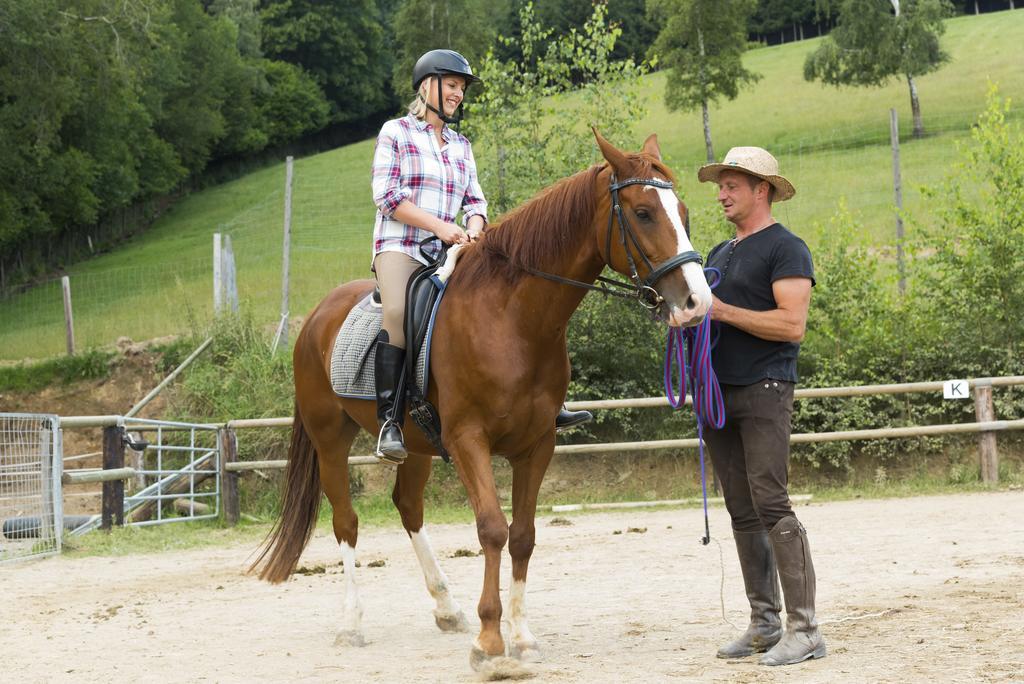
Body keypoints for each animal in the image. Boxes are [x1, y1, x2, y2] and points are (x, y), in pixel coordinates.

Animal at [249, 131, 712, 671]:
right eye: (642, 212)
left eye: (682, 211)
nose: (696, 302)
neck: (512, 320)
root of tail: (317, 316)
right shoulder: (470, 440)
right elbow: (492, 528)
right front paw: (490, 641)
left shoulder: (537, 445)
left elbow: (524, 534)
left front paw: (522, 635)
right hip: (330, 439)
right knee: (346, 520)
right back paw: (352, 624)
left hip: (416, 445)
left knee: (409, 507)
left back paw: (447, 609)